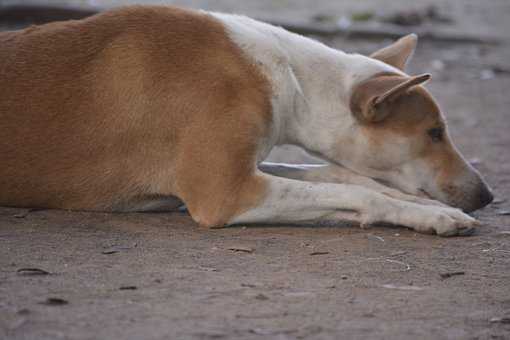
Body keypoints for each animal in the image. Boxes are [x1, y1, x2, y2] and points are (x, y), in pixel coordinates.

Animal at [0, 5, 494, 236]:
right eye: (435, 133)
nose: (487, 195)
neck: (291, 77)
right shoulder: (227, 193)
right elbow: (354, 189)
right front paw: (430, 216)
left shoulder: (246, 168)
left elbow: (339, 176)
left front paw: (423, 205)